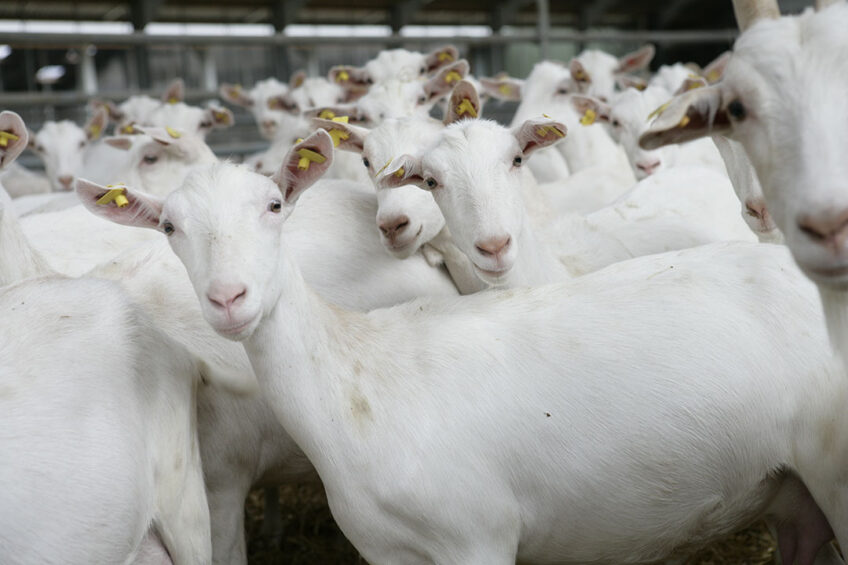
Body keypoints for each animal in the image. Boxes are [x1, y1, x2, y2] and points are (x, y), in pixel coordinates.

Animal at [86, 128, 848, 564]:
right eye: (170, 228)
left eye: (275, 207)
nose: (228, 298)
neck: (351, 374)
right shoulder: (389, 552)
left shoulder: (475, 538)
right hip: (797, 494)